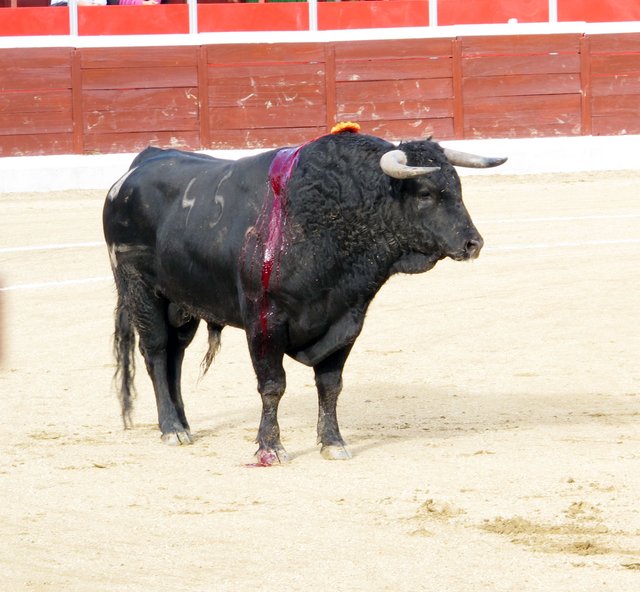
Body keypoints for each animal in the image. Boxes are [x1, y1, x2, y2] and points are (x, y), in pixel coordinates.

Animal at [104, 128, 504, 462]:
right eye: (425, 194)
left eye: (458, 188)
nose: (473, 243)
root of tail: (138, 166)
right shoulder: (264, 322)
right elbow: (272, 386)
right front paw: (270, 446)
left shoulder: (346, 319)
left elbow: (330, 385)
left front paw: (333, 442)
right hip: (141, 290)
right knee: (157, 353)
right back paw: (171, 429)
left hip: (182, 304)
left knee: (176, 357)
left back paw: (183, 424)